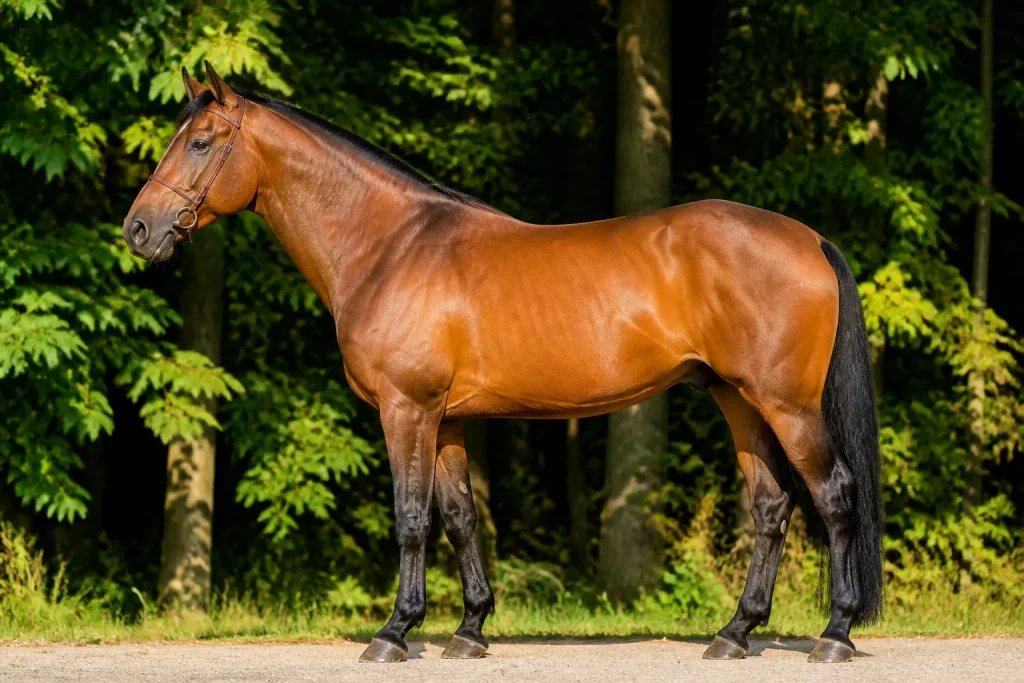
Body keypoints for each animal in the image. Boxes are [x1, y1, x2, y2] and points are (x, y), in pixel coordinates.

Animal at [123, 62, 884, 664]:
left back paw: (834, 634)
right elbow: (460, 516)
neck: (390, 245)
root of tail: (810, 239)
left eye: (199, 142)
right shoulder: (448, 420)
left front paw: (394, 633)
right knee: (772, 506)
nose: (138, 229)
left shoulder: (407, 409)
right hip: (738, 400)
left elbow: (411, 516)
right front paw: (468, 629)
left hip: (786, 405)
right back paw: (734, 632)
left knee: (835, 495)